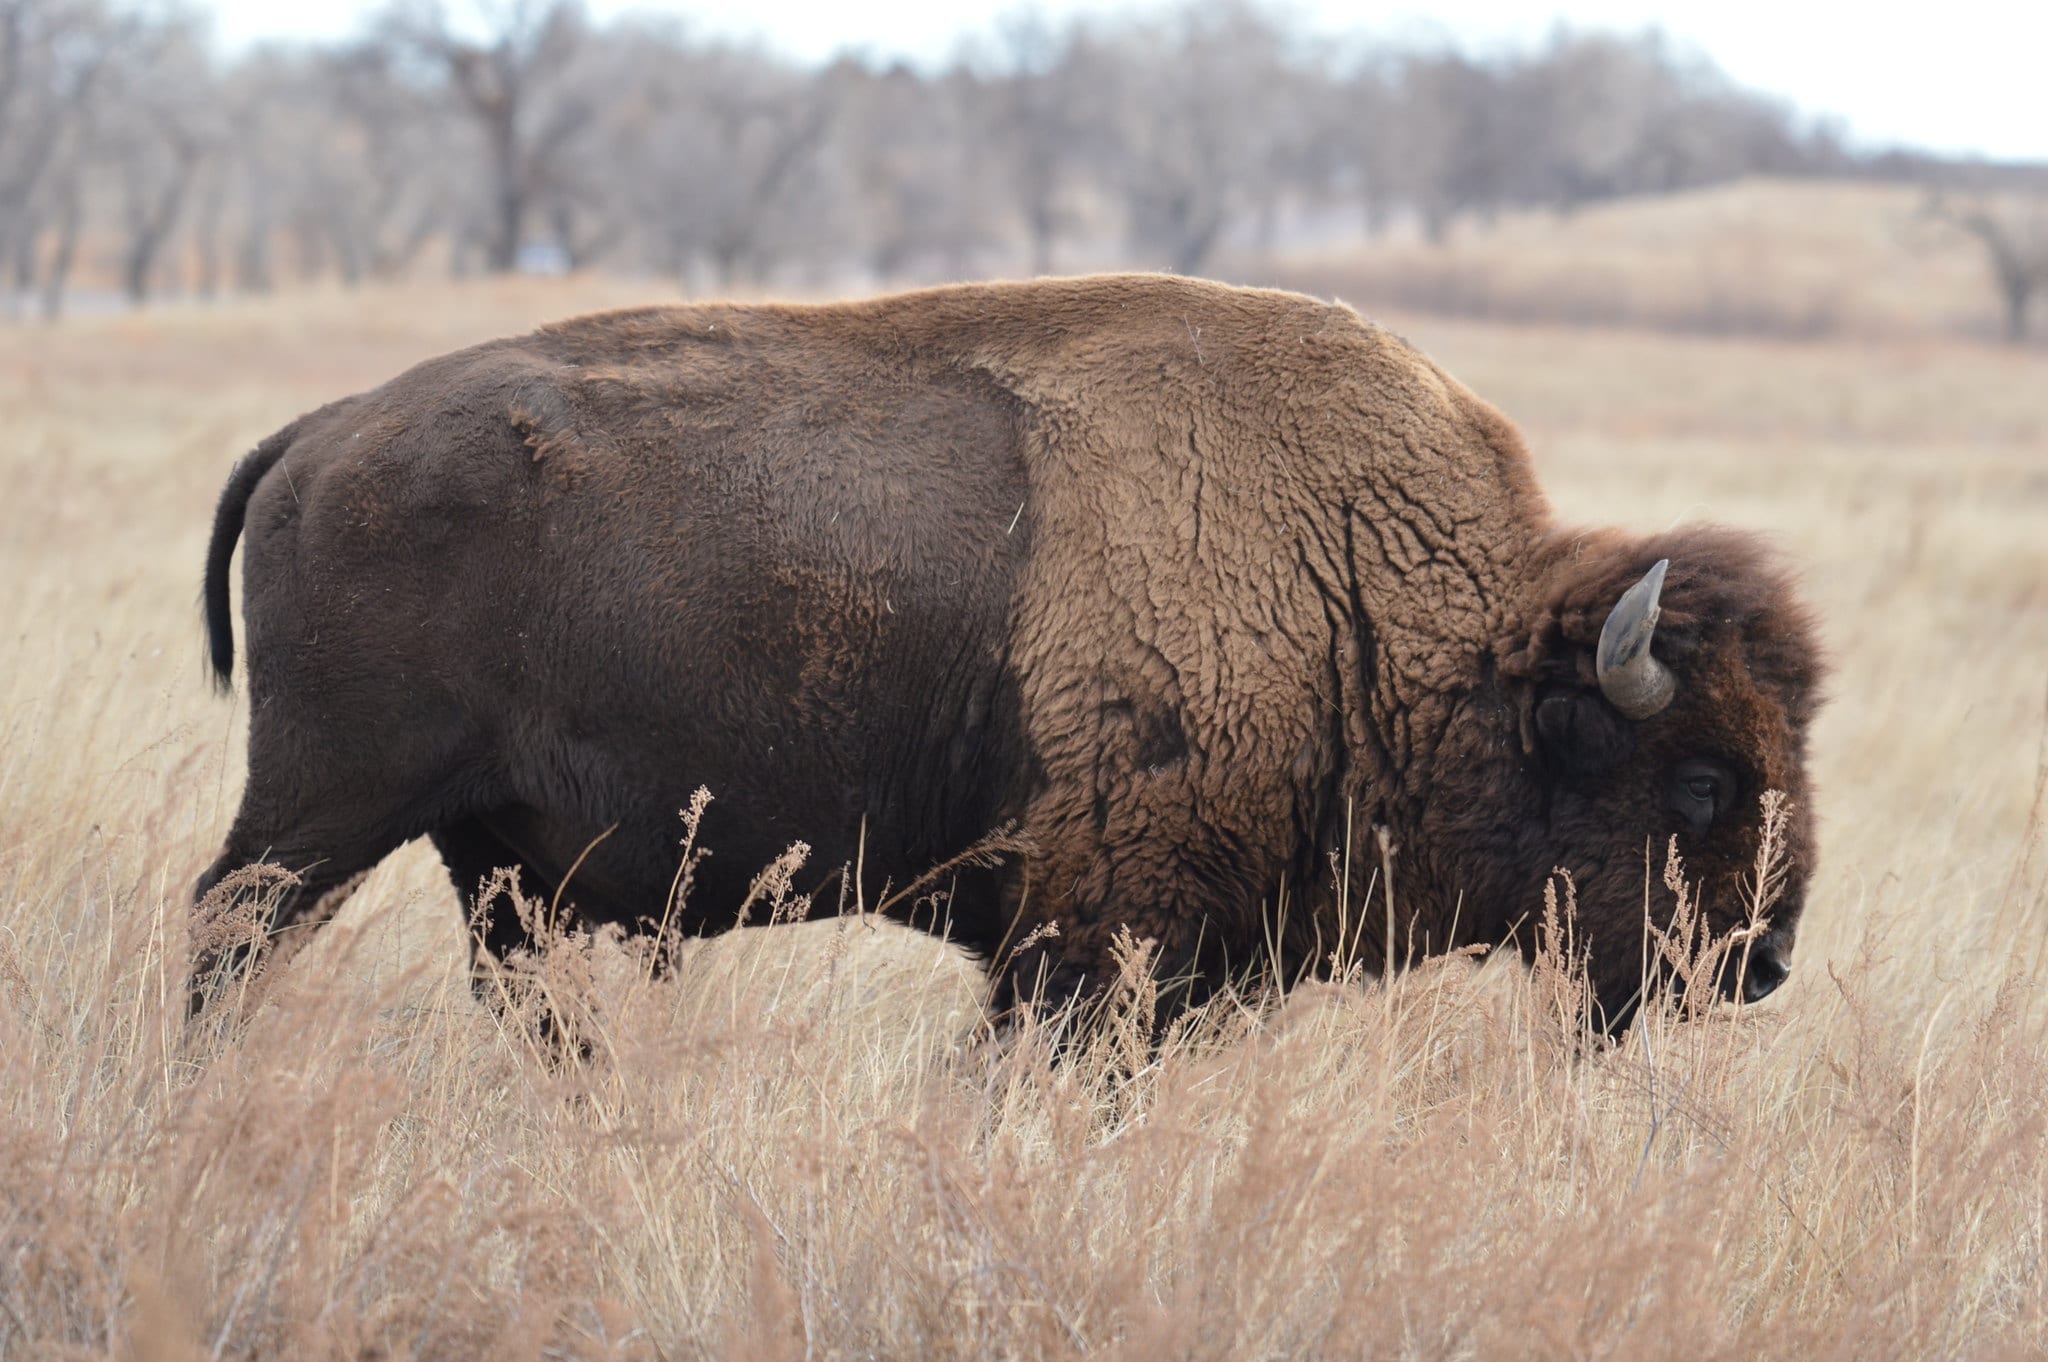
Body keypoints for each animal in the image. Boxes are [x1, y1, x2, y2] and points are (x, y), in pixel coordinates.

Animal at [188, 274, 1826, 1032]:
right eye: (1698, 780)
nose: (1759, 965)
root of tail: (325, 432)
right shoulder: (1088, 939)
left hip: (498, 868)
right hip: (324, 810)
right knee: (223, 933)